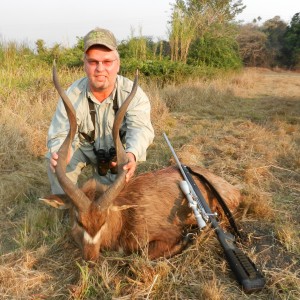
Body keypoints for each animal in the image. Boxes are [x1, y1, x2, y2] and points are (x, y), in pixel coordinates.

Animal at [40, 67, 241, 262]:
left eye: (103, 221)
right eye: (79, 220)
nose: (90, 259)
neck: (124, 217)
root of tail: (233, 189)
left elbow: (142, 256)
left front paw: (188, 239)